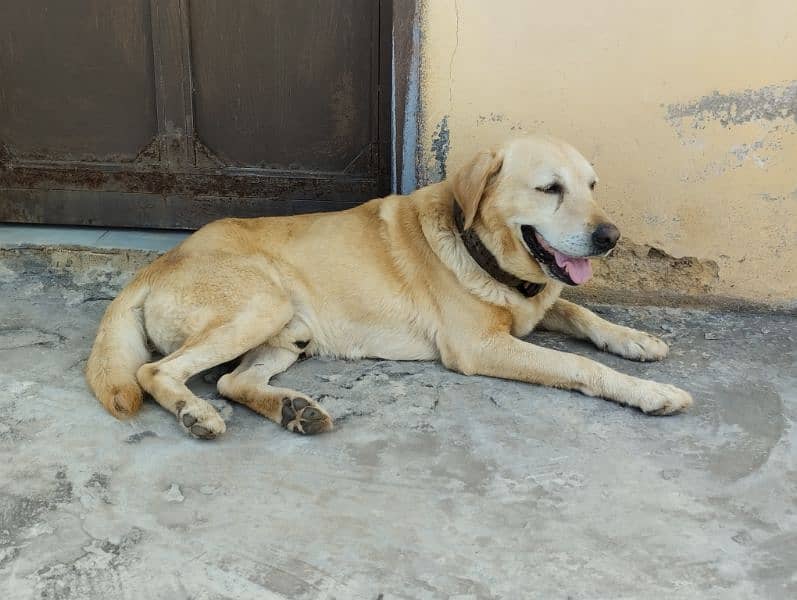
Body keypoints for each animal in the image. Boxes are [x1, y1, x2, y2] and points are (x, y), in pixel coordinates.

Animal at [85, 135, 692, 436]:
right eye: (550, 188)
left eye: (592, 185)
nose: (611, 237)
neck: (481, 251)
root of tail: (155, 265)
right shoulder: (480, 347)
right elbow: (579, 365)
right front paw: (649, 393)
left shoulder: (536, 304)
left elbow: (583, 314)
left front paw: (636, 340)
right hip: (260, 305)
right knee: (154, 372)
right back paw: (196, 413)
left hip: (288, 333)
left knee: (234, 382)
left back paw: (293, 411)